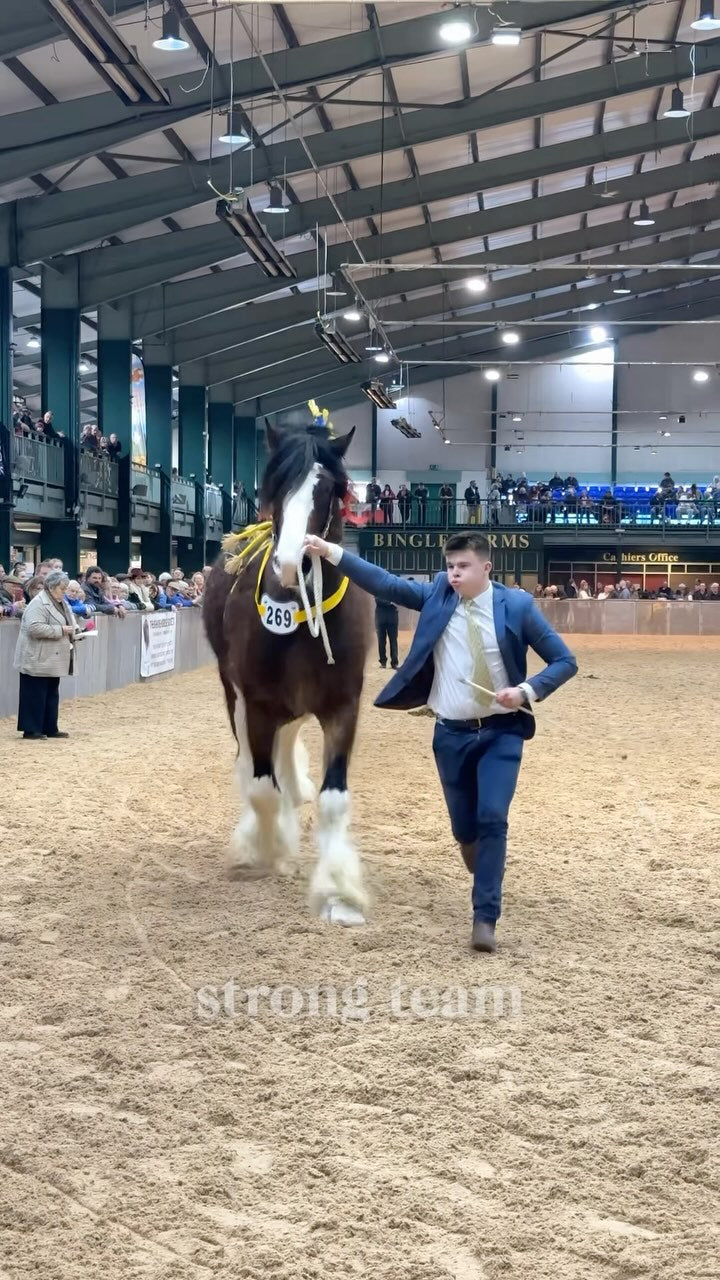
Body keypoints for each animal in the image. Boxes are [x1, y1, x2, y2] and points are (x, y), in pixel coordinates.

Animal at [203, 422, 372, 926]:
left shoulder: (343, 706)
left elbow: (334, 800)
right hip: (233, 693)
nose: (290, 564)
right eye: (275, 485)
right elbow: (261, 789)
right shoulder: (257, 703)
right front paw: (266, 850)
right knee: (252, 761)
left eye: (329, 488)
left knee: (288, 740)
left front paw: (339, 893)